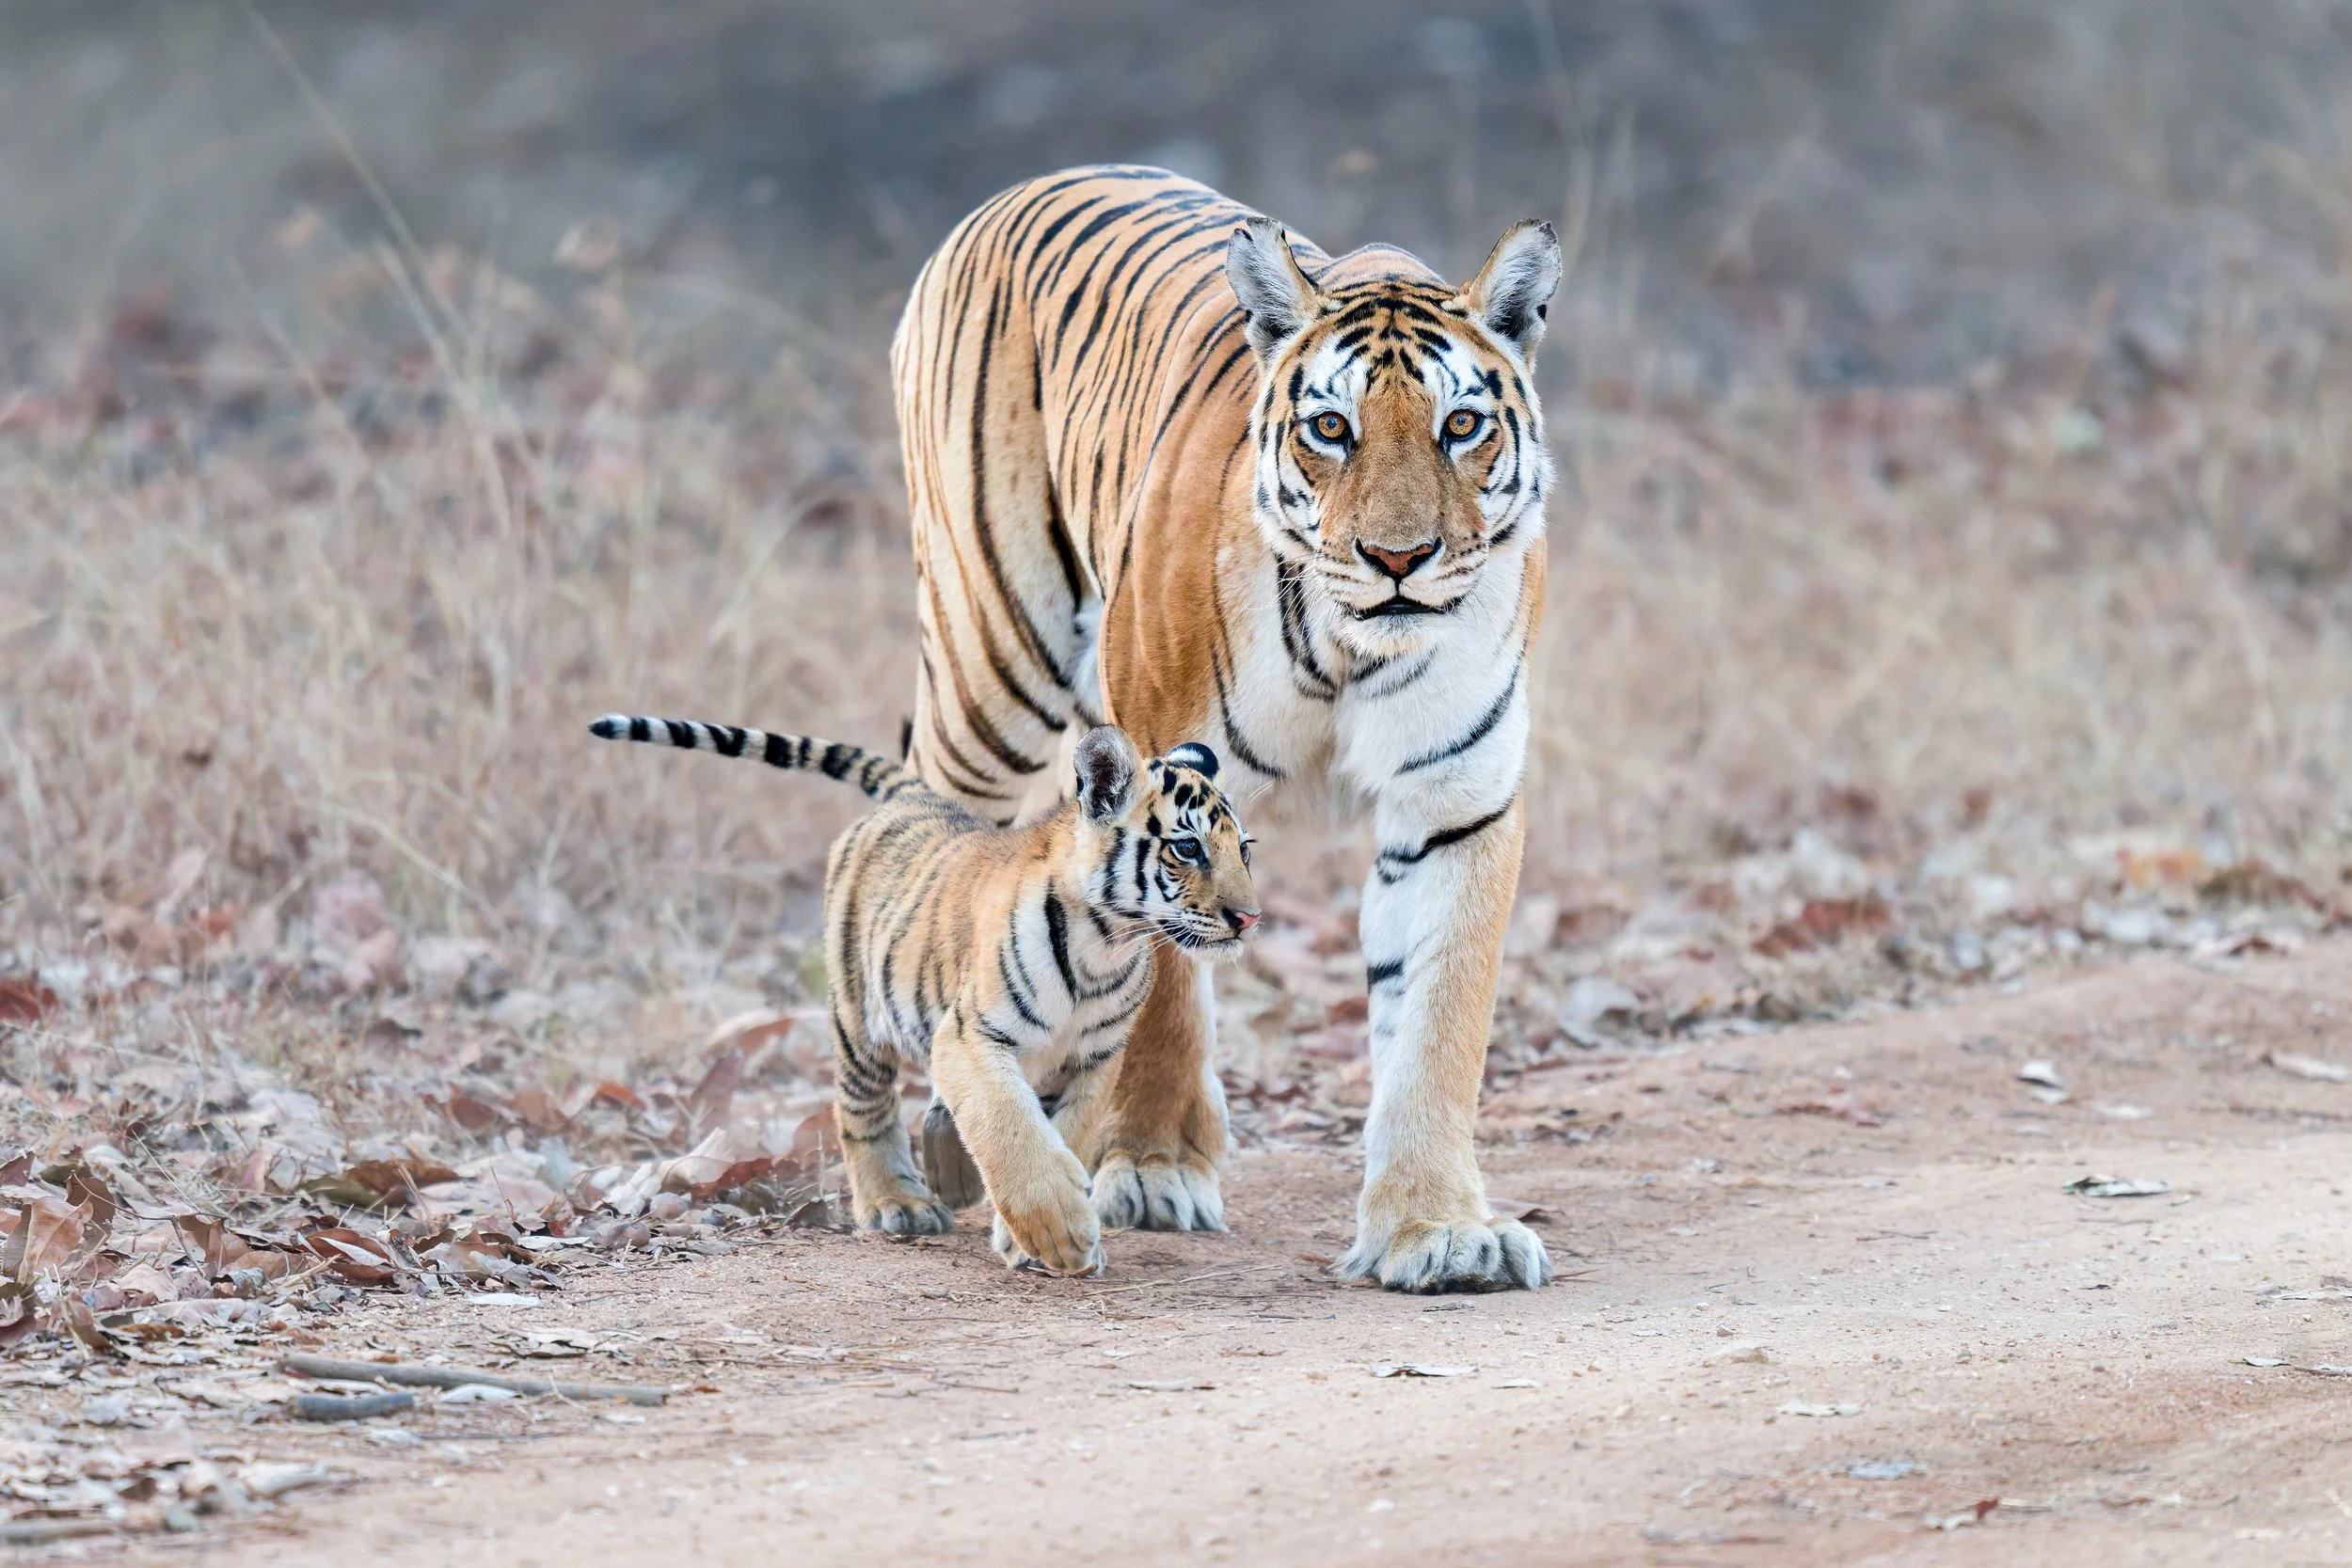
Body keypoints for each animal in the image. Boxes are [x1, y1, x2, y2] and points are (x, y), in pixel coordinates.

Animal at [588, 712, 1259, 1275]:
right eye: (1188, 847)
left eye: (1243, 849)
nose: (1249, 918)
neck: (1110, 945)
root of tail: (913, 792)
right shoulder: (973, 1034)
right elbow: (1008, 1125)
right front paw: (1058, 1233)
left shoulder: (1095, 1062)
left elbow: (1066, 1133)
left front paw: (1029, 1238)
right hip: (859, 1017)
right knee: (863, 1111)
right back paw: (897, 1203)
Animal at [890, 166, 1560, 1292]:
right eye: (1330, 429)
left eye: (1462, 424)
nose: (1399, 558)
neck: (1352, 644)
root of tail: (1020, 188)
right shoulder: (1162, 767)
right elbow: (1162, 985)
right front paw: (1151, 1169)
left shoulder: (1452, 806)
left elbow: (1436, 1023)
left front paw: (1435, 1226)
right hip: (989, 668)